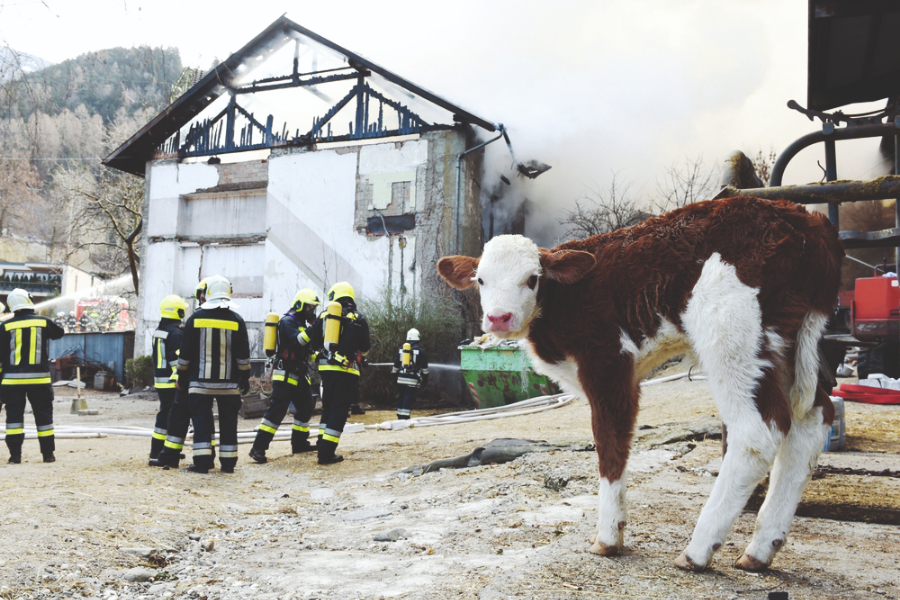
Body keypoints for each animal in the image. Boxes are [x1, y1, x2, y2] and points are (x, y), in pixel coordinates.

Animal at [440, 197, 848, 572]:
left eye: (532, 278)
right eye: (481, 280)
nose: (499, 317)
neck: (563, 300)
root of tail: (805, 219)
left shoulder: (608, 365)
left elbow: (610, 445)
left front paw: (608, 537)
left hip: (731, 336)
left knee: (757, 433)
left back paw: (698, 550)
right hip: (791, 343)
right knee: (812, 420)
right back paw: (760, 549)